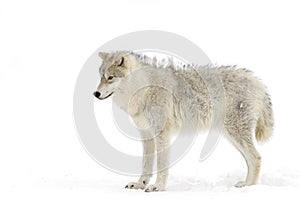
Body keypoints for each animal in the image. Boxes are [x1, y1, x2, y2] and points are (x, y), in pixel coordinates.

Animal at [94, 50, 274, 192]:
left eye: (110, 77)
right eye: (101, 77)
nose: (95, 93)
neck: (143, 88)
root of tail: (257, 81)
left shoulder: (162, 133)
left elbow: (161, 164)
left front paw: (158, 187)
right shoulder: (146, 135)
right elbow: (146, 164)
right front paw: (140, 184)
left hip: (235, 133)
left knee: (256, 158)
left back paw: (248, 187)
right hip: (231, 136)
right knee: (252, 159)